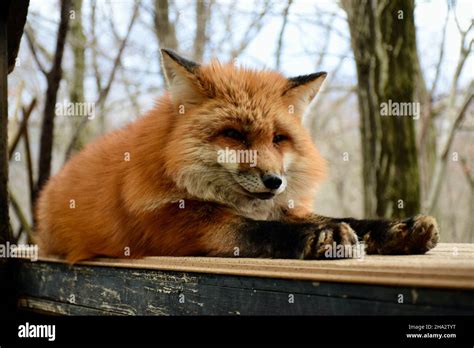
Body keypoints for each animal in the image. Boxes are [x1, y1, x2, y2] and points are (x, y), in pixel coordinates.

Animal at [35, 48, 438, 260]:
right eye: (234, 135)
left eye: (278, 139)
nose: (275, 181)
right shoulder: (175, 225)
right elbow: (258, 230)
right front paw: (322, 235)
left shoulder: (282, 207)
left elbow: (350, 219)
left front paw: (397, 228)